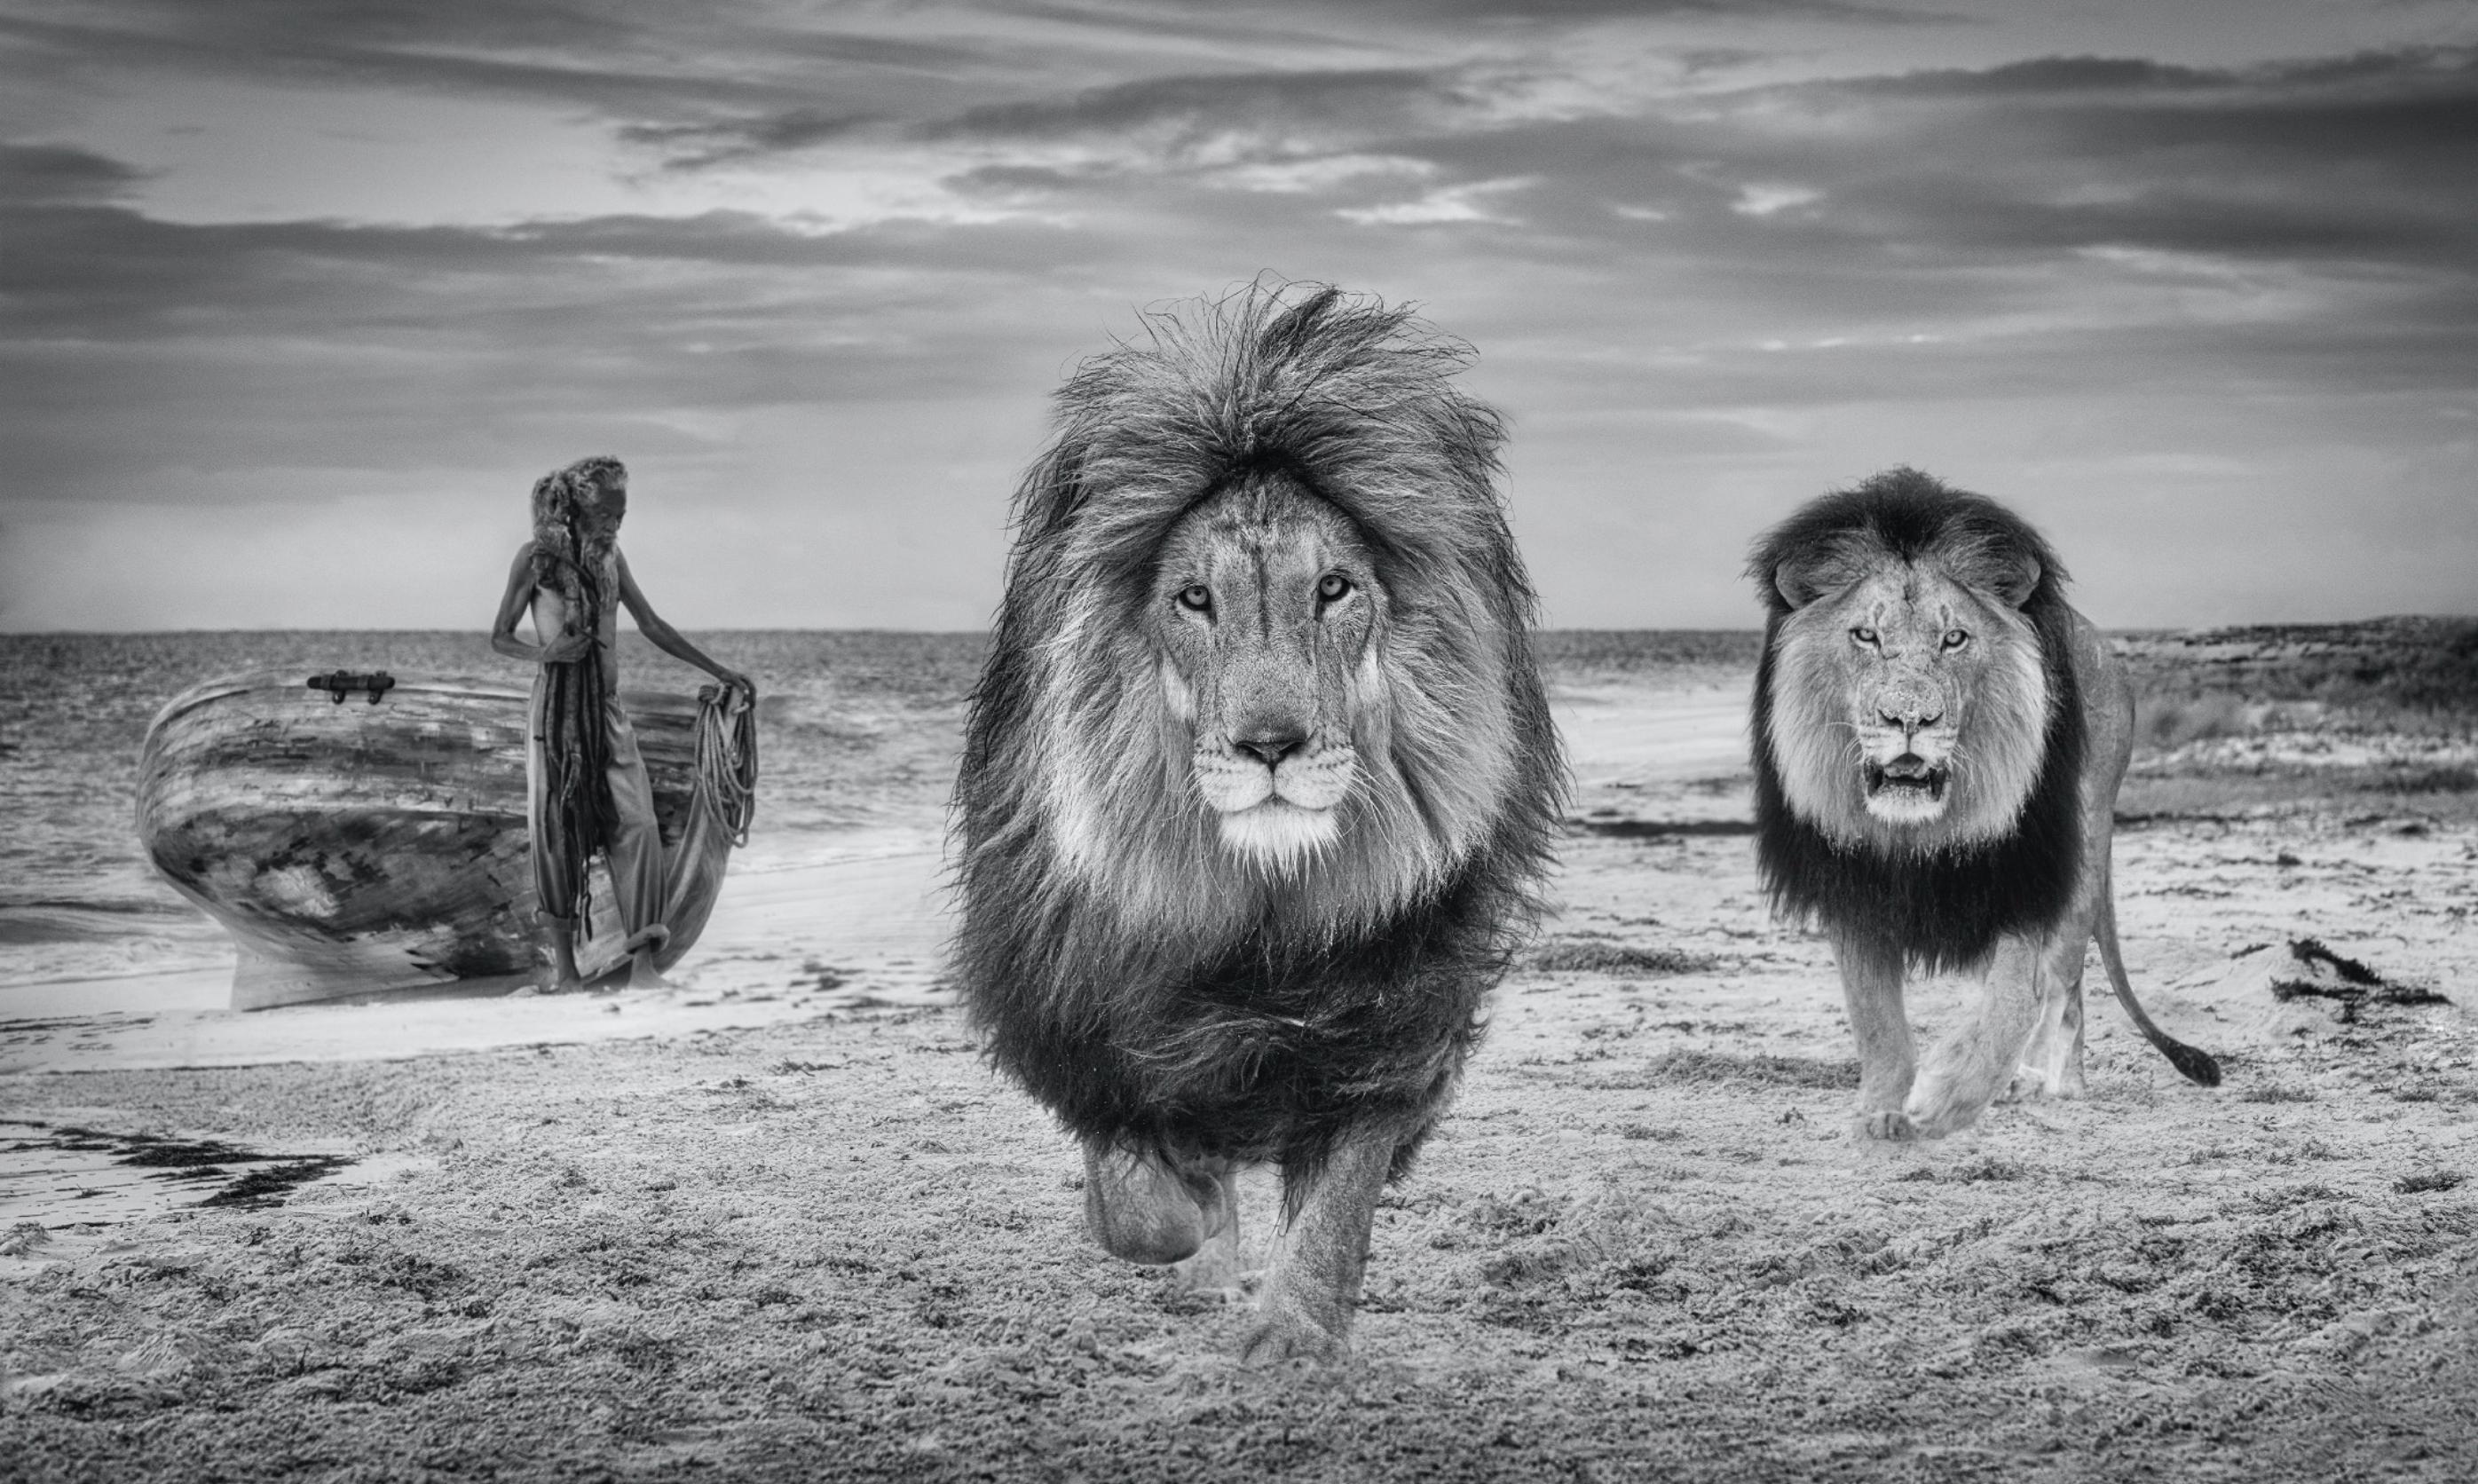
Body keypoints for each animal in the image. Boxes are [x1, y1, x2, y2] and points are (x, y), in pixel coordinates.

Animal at [951, 285, 1556, 1367]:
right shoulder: (1082, 1020)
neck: (1258, 904)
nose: (1271, 744)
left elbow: (1336, 1204)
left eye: (1334, 589)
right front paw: (1194, 1229)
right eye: (1194, 599)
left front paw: (1291, 1334)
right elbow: (1138, 1202)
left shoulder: (1383, 1029)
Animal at [1744, 470, 2229, 1144]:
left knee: (2062, 984)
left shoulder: (2022, 875)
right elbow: (1875, 1019)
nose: (1909, 719)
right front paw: (1884, 1110)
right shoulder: (1854, 886)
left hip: (2085, 849)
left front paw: (1949, 1097)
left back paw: (2043, 1080)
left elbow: (2011, 1007)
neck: (1917, 833)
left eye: (1954, 639)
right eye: (1866, 635)